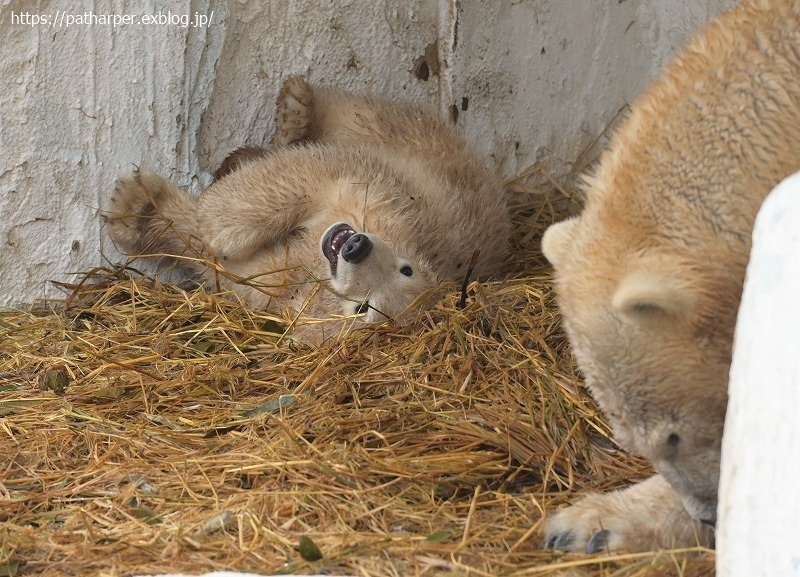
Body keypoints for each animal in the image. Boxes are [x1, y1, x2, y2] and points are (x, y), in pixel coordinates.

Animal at [104, 74, 506, 340]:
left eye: (364, 309)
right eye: (405, 269)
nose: (355, 247)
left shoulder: (279, 292)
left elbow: (224, 263)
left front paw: (136, 207)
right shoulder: (384, 195)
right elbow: (307, 174)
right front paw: (217, 220)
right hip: (413, 134)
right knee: (353, 114)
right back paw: (293, 111)